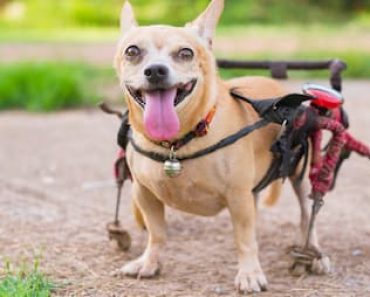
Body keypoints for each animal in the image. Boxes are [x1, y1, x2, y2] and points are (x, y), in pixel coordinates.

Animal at [113, 0, 330, 292]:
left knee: (309, 217)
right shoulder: (144, 194)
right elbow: (156, 233)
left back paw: (315, 254)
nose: (156, 70)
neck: (178, 142)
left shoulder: (238, 196)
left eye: (185, 53)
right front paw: (149, 262)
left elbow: (244, 239)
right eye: (132, 51)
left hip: (301, 177)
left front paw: (249, 273)